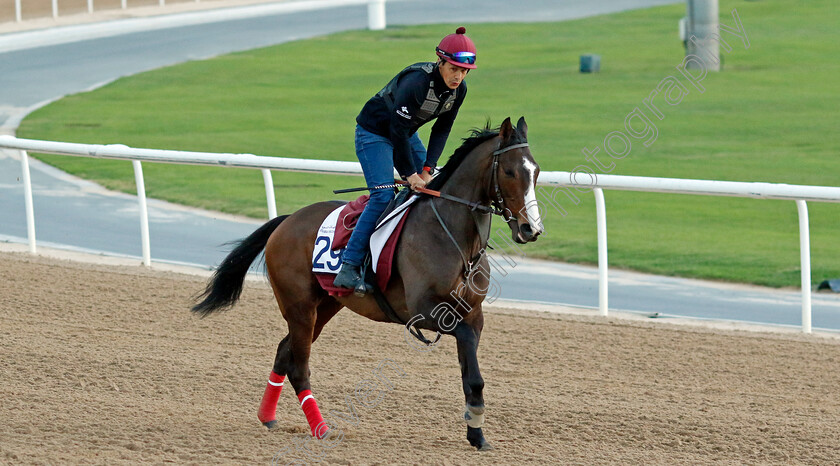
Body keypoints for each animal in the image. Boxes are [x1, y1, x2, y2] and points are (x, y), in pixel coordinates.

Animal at [192, 114, 544, 450]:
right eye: (510, 172)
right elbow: (469, 355)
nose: (531, 229)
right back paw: (321, 429)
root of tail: (287, 220)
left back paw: (268, 417)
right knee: (299, 367)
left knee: (284, 351)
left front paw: (477, 435)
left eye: (536, 172)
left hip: (326, 305)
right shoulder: (426, 312)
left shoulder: (473, 314)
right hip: (299, 305)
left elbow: (472, 377)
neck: (454, 238)